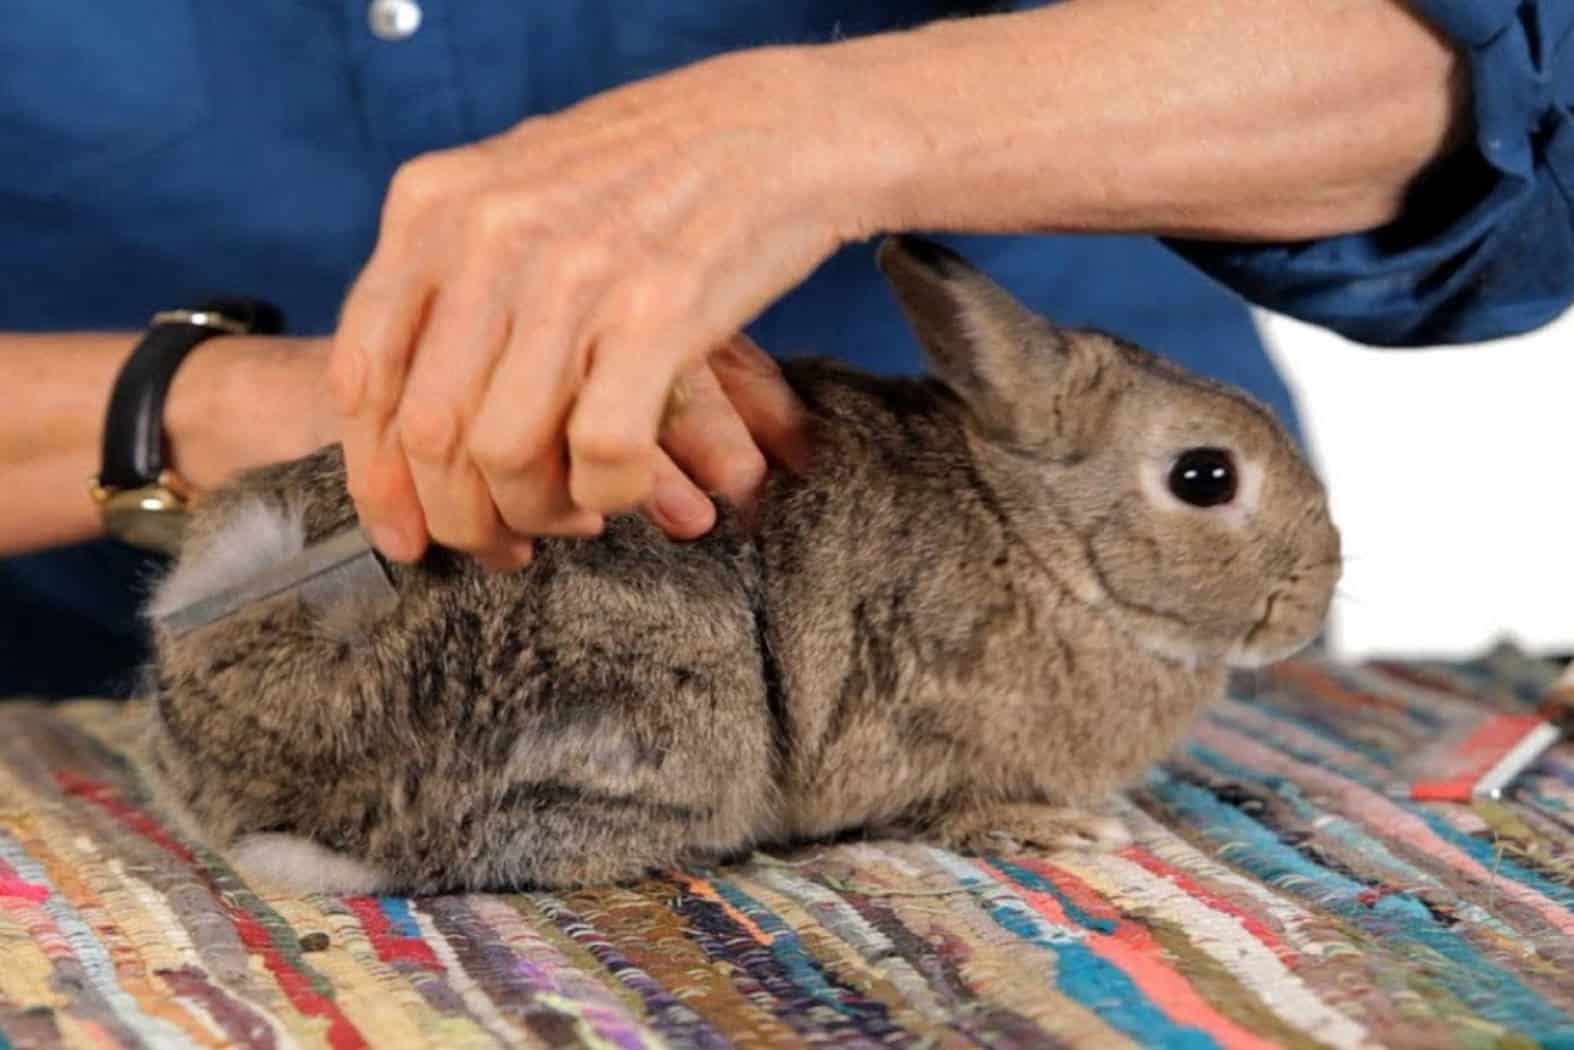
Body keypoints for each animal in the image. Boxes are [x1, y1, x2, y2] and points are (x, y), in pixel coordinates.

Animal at [138, 237, 1341, 894]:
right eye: (1203, 478)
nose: (1313, 598)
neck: (1042, 540)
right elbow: (953, 806)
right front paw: (1063, 827)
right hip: (669, 710)